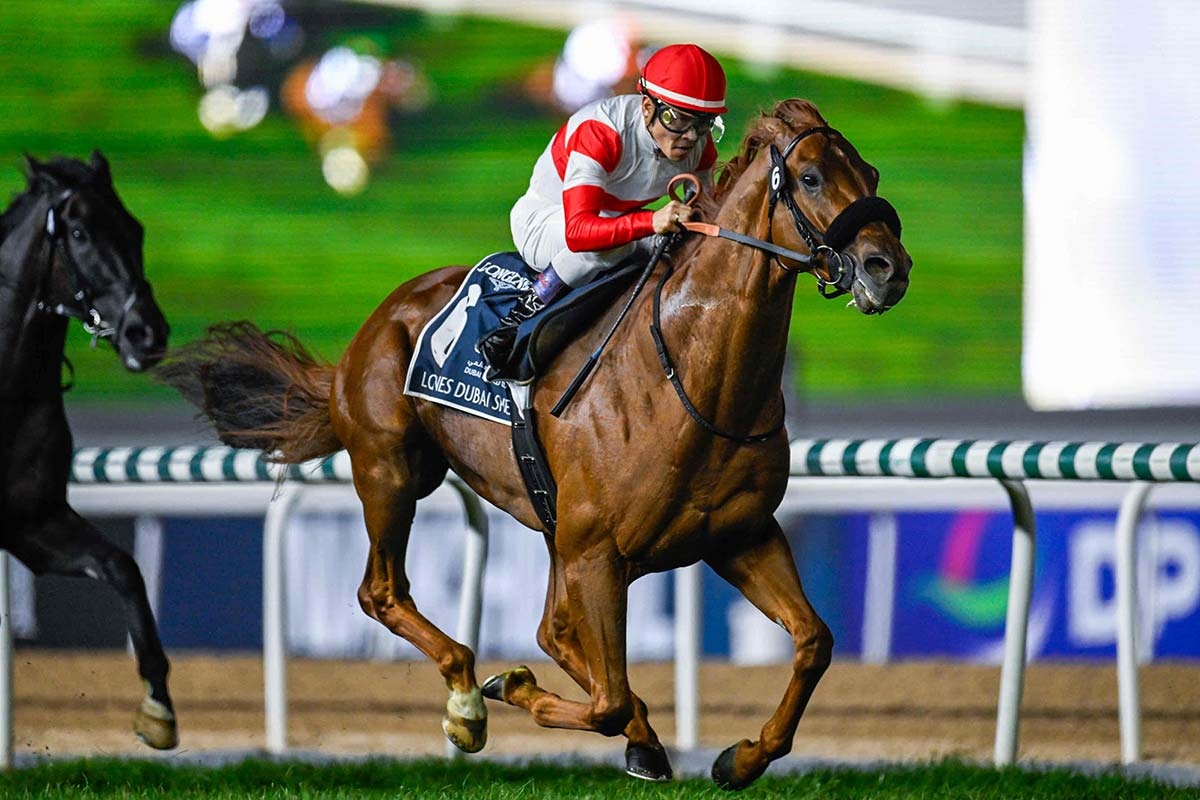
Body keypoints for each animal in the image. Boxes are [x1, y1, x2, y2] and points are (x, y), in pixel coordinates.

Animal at [0, 152, 176, 750]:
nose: (147, 333)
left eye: (136, 228)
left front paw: (158, 704)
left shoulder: (33, 522)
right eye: (79, 232)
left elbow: (123, 567)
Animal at [158, 98, 910, 788]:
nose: (888, 268)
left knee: (556, 630)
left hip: (554, 529)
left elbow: (813, 642)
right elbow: (607, 699)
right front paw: (512, 690)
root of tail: (376, 321)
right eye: (810, 177)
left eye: (871, 172)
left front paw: (741, 757)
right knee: (385, 593)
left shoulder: (738, 535)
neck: (692, 376)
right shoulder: (598, 550)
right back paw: (468, 699)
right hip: (392, 468)